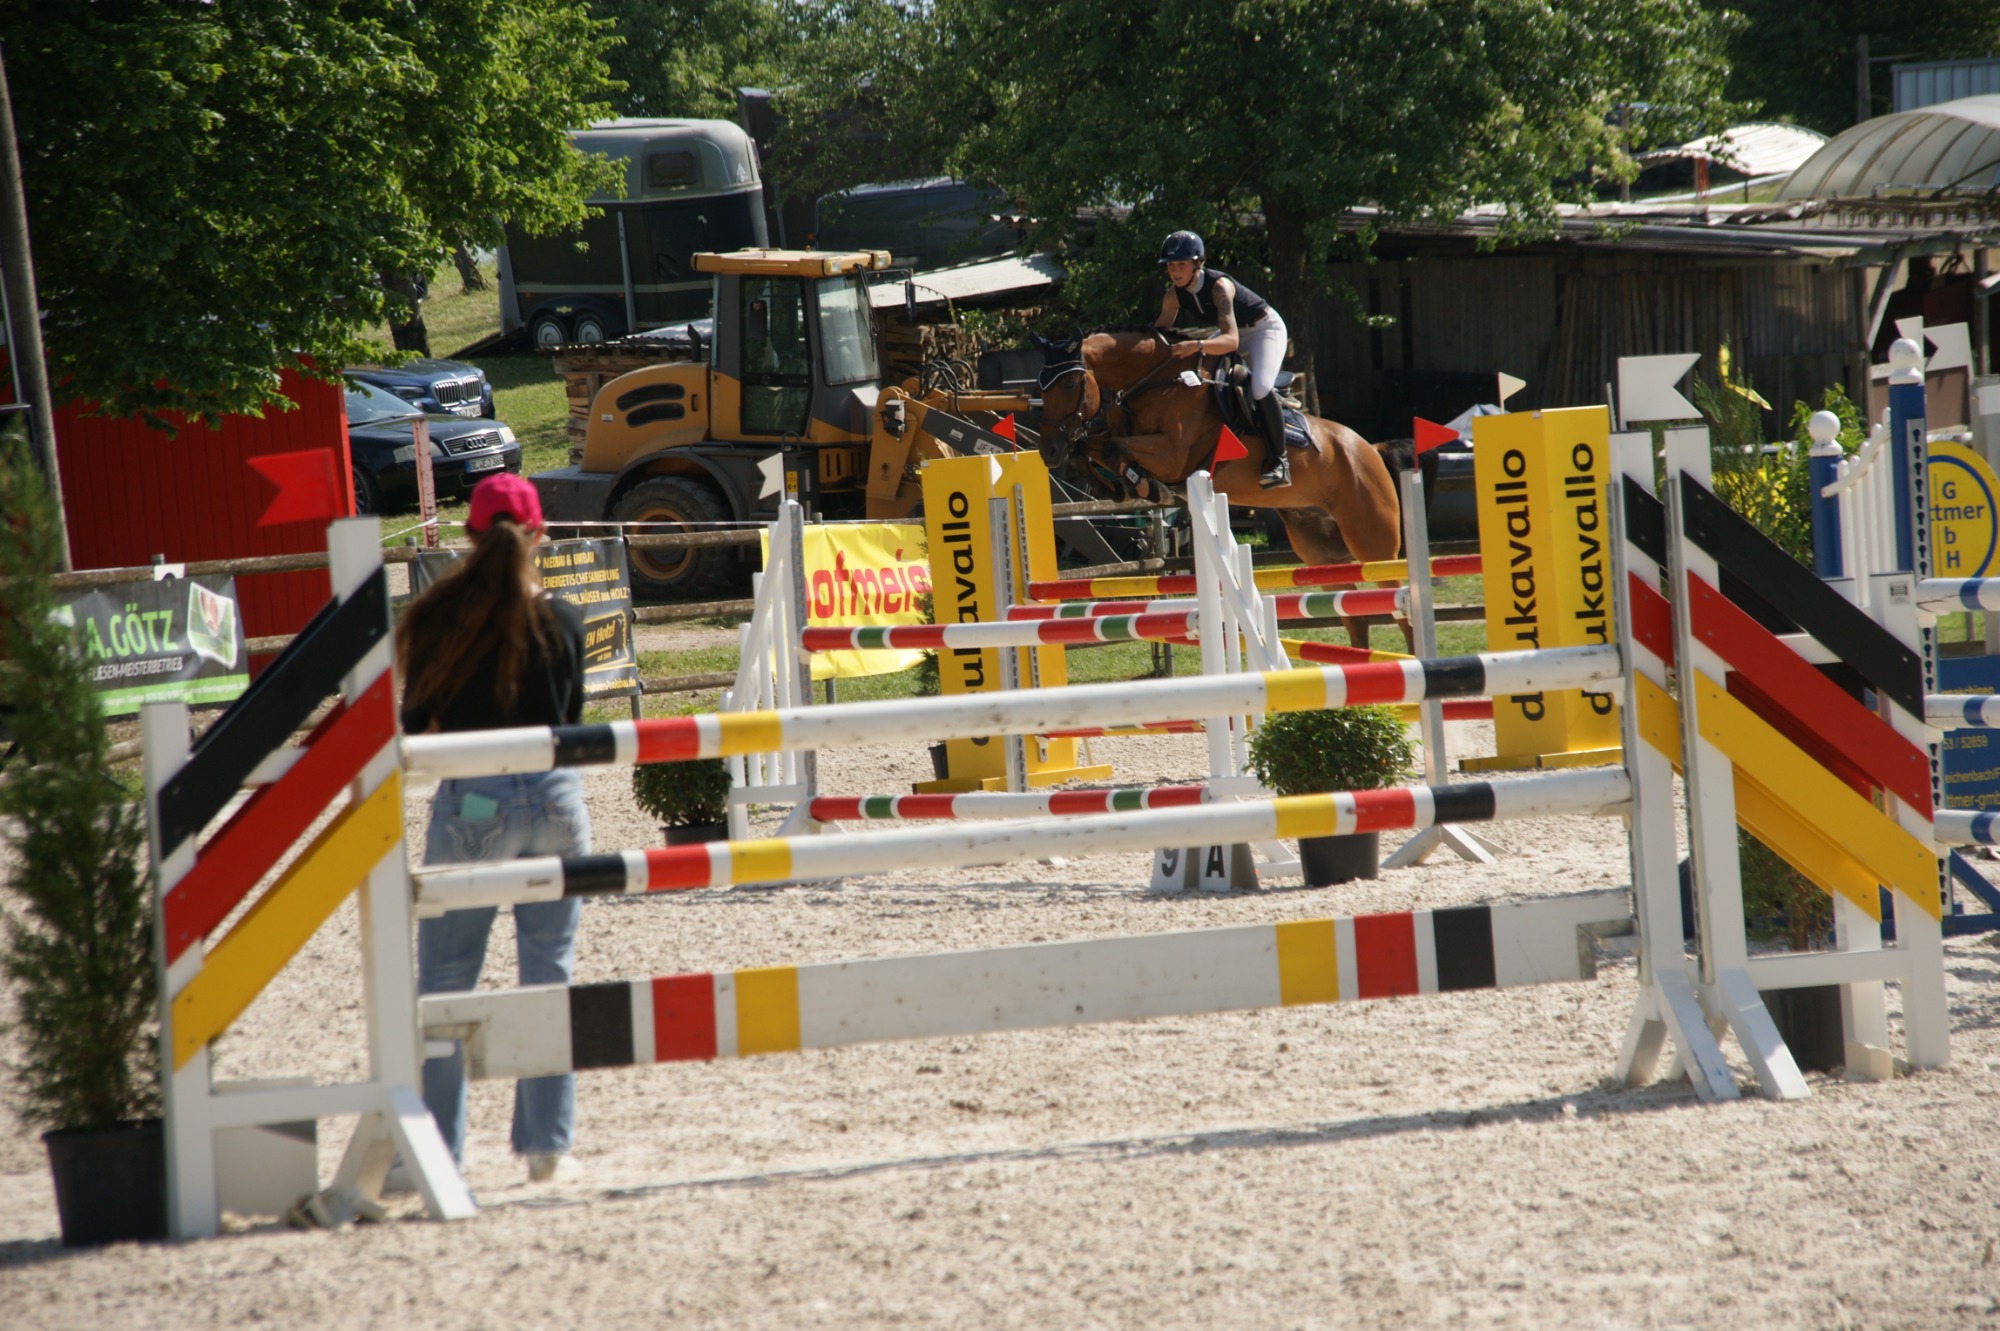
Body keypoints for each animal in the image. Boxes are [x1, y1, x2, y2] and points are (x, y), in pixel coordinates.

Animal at [1032, 328, 1411, 649]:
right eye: (1040, 387)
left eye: (1069, 385)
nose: (1048, 451)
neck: (1155, 381)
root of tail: (1369, 448)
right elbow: (1093, 447)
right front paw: (1113, 487)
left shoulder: (1173, 456)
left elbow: (1114, 449)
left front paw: (1145, 487)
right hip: (1321, 553)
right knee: (1356, 618)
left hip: (1373, 547)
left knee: (1401, 609)